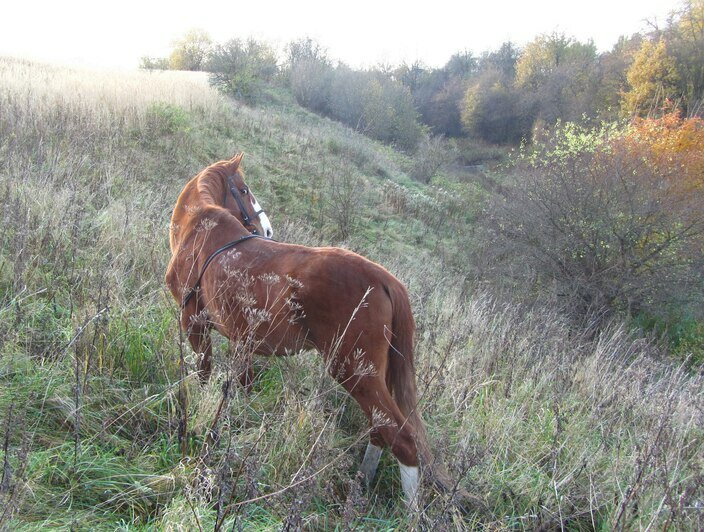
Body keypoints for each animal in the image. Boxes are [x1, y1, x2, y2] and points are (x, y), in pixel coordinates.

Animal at [165, 156, 462, 510]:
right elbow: (242, 387)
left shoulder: (194, 325)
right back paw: (360, 485)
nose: (267, 230)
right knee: (380, 428)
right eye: (245, 190)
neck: (203, 233)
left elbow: (204, 373)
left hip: (353, 370)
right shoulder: (243, 343)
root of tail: (384, 279)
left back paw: (409, 512)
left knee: (401, 438)